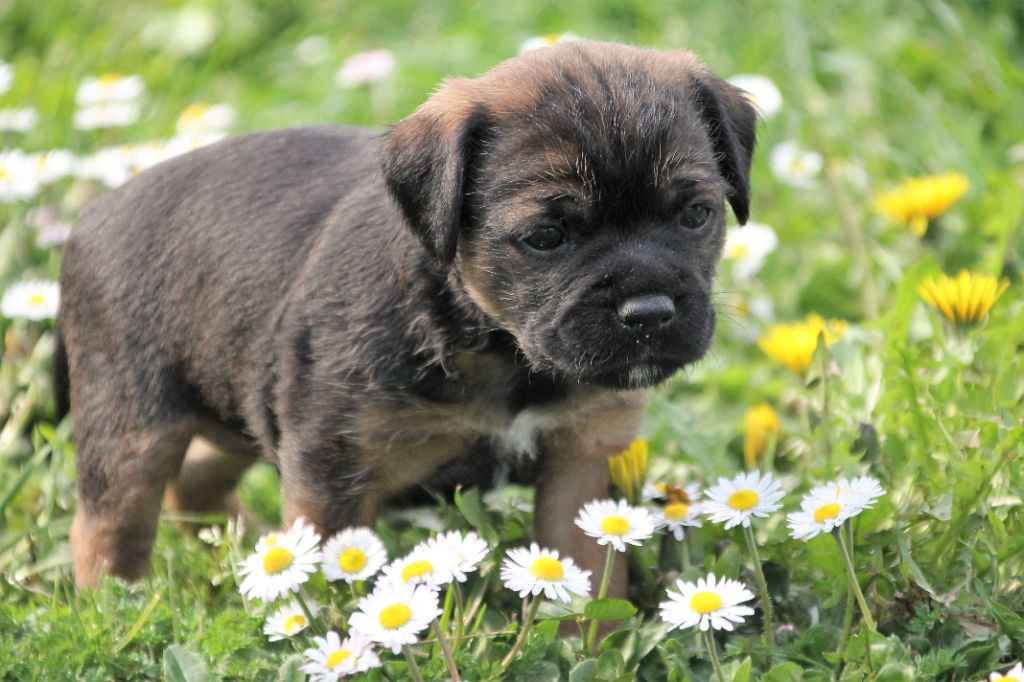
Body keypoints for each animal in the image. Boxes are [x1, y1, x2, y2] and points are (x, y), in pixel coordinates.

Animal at [58, 39, 761, 585]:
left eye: (696, 214)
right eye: (546, 237)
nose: (649, 312)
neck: (497, 343)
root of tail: (89, 216)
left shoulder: (581, 464)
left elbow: (587, 582)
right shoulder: (334, 475)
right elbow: (338, 589)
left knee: (197, 482)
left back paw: (247, 550)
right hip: (132, 426)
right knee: (107, 529)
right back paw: (116, 611)